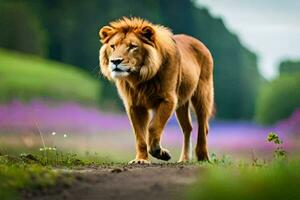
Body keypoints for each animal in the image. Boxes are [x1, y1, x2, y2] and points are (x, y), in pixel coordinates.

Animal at [99, 17, 214, 164]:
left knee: (202, 127)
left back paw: (203, 157)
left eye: (133, 46)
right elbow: (140, 136)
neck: (140, 78)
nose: (115, 61)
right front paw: (141, 159)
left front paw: (159, 152)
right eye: (113, 46)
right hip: (182, 103)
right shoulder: (134, 106)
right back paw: (184, 159)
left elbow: (153, 127)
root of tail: (200, 43)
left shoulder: (168, 99)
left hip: (203, 94)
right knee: (188, 128)